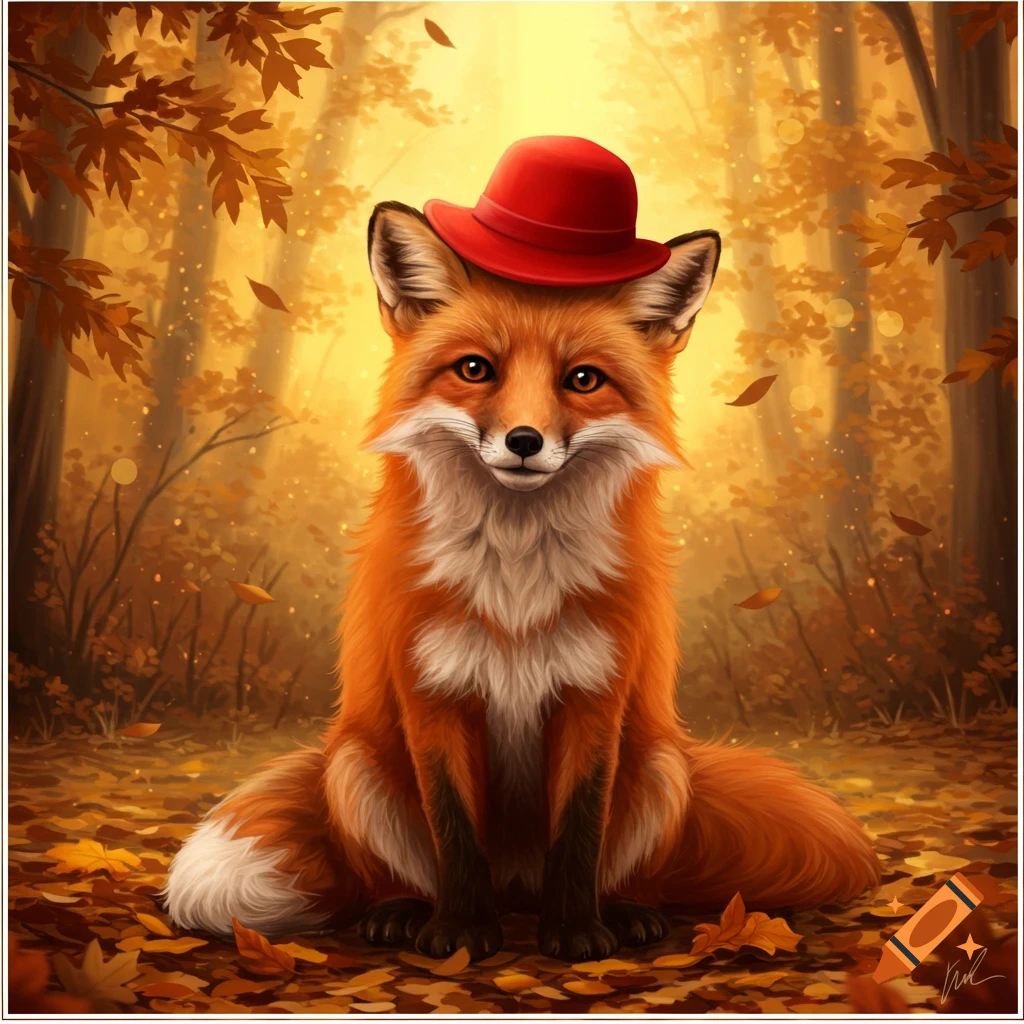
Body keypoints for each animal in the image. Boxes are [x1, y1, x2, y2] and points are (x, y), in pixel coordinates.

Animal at [164, 200, 880, 961]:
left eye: (584, 379)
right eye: (475, 369)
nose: (525, 441)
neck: (514, 578)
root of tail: (516, 888)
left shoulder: (594, 695)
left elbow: (579, 831)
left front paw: (576, 932)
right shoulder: (433, 694)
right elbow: (453, 829)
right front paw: (459, 931)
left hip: (662, 769)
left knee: (626, 869)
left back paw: (626, 910)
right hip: (354, 765)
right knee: (400, 869)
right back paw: (400, 910)